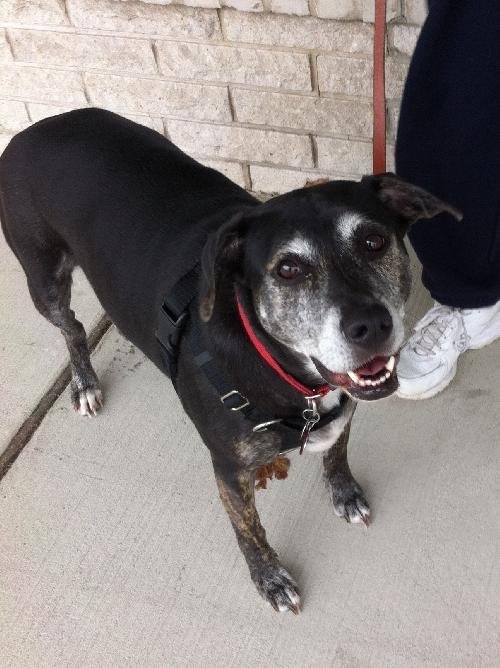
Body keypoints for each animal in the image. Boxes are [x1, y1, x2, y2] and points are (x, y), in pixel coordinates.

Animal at [0, 111, 460, 616]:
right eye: (288, 270)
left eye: (374, 241)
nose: (372, 325)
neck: (284, 369)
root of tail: (35, 128)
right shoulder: (229, 471)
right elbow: (249, 529)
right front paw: (270, 578)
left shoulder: (344, 411)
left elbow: (336, 453)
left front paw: (344, 493)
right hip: (44, 280)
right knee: (73, 327)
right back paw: (83, 381)